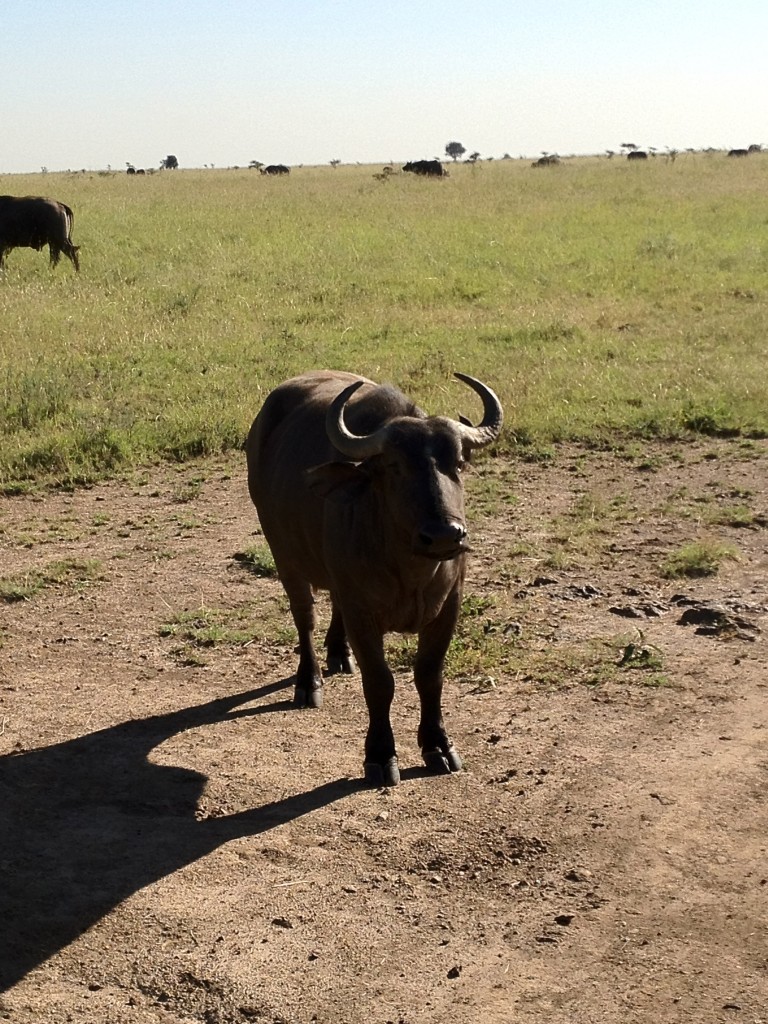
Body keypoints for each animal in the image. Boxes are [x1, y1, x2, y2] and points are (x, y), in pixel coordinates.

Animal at [246, 370, 503, 786]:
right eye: (394, 466)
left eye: (459, 463)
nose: (444, 535)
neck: (411, 572)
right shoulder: (363, 614)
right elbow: (380, 682)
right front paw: (381, 755)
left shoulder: (448, 606)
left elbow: (429, 675)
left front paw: (438, 746)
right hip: (285, 558)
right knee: (305, 618)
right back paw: (309, 681)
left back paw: (339, 654)